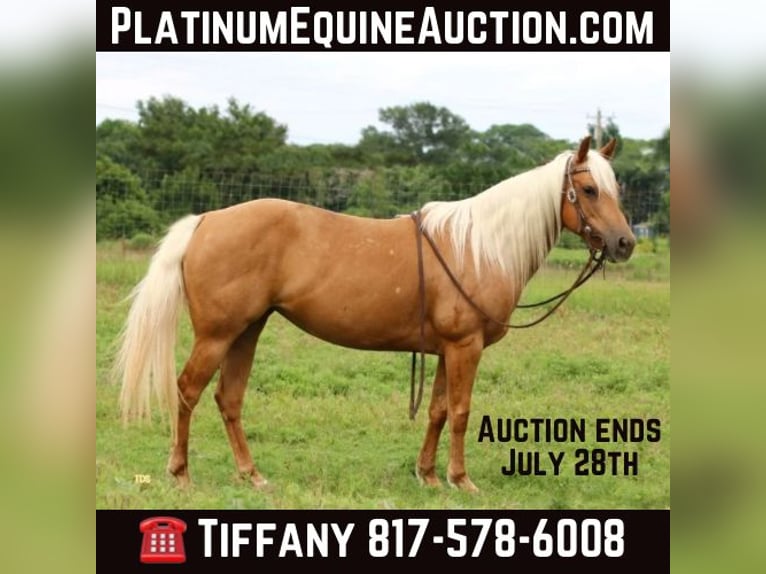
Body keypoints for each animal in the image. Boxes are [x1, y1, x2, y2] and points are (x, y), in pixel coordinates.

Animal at [116, 135, 635, 492]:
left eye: (617, 188)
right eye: (588, 189)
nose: (625, 243)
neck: (481, 246)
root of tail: (206, 220)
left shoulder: (446, 350)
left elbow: (438, 410)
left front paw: (427, 476)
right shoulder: (465, 347)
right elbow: (461, 411)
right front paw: (460, 480)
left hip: (247, 330)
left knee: (229, 398)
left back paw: (252, 475)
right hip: (217, 335)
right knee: (187, 392)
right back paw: (181, 474)